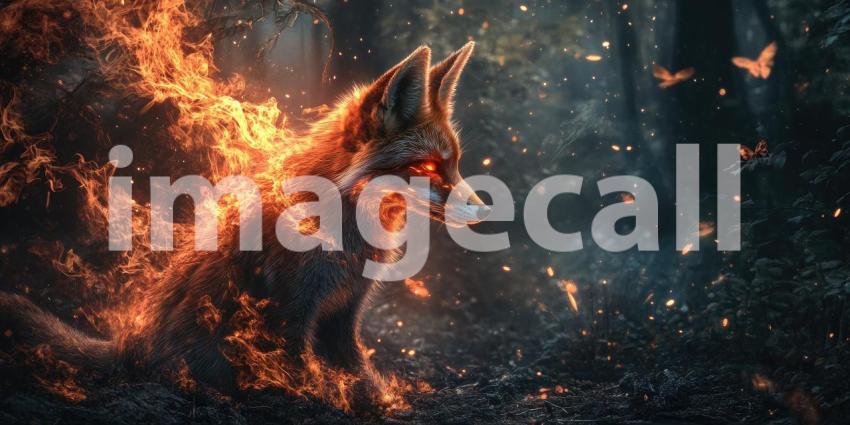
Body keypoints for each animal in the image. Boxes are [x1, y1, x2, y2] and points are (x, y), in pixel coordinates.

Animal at [0, 42, 490, 407]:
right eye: (428, 167)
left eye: (454, 164)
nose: (485, 210)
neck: (346, 240)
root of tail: (129, 345)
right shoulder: (291, 309)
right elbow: (301, 368)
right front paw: (315, 400)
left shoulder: (345, 310)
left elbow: (355, 367)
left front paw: (374, 399)